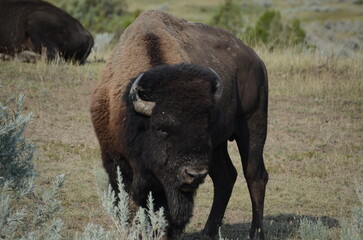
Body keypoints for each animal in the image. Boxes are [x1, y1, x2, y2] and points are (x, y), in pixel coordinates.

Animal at [90, 9, 268, 240]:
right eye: (162, 128)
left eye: (204, 126)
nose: (194, 174)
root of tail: (256, 60)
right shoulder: (115, 160)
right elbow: (130, 202)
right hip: (219, 146)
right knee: (225, 177)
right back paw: (207, 232)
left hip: (253, 125)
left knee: (255, 175)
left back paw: (255, 233)